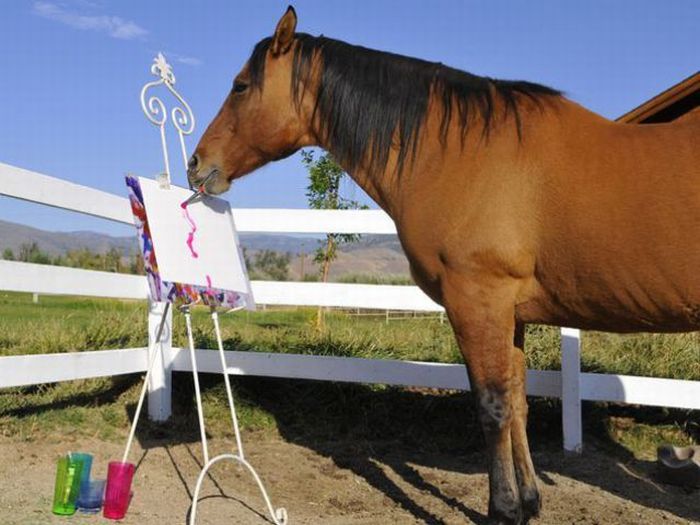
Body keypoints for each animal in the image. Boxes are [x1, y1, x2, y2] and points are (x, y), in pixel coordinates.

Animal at [188, 7, 700, 524]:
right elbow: (517, 403)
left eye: (241, 86)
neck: (464, 155)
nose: (196, 164)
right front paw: (528, 501)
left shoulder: (478, 301)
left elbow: (492, 406)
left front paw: (503, 508)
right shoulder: (510, 313)